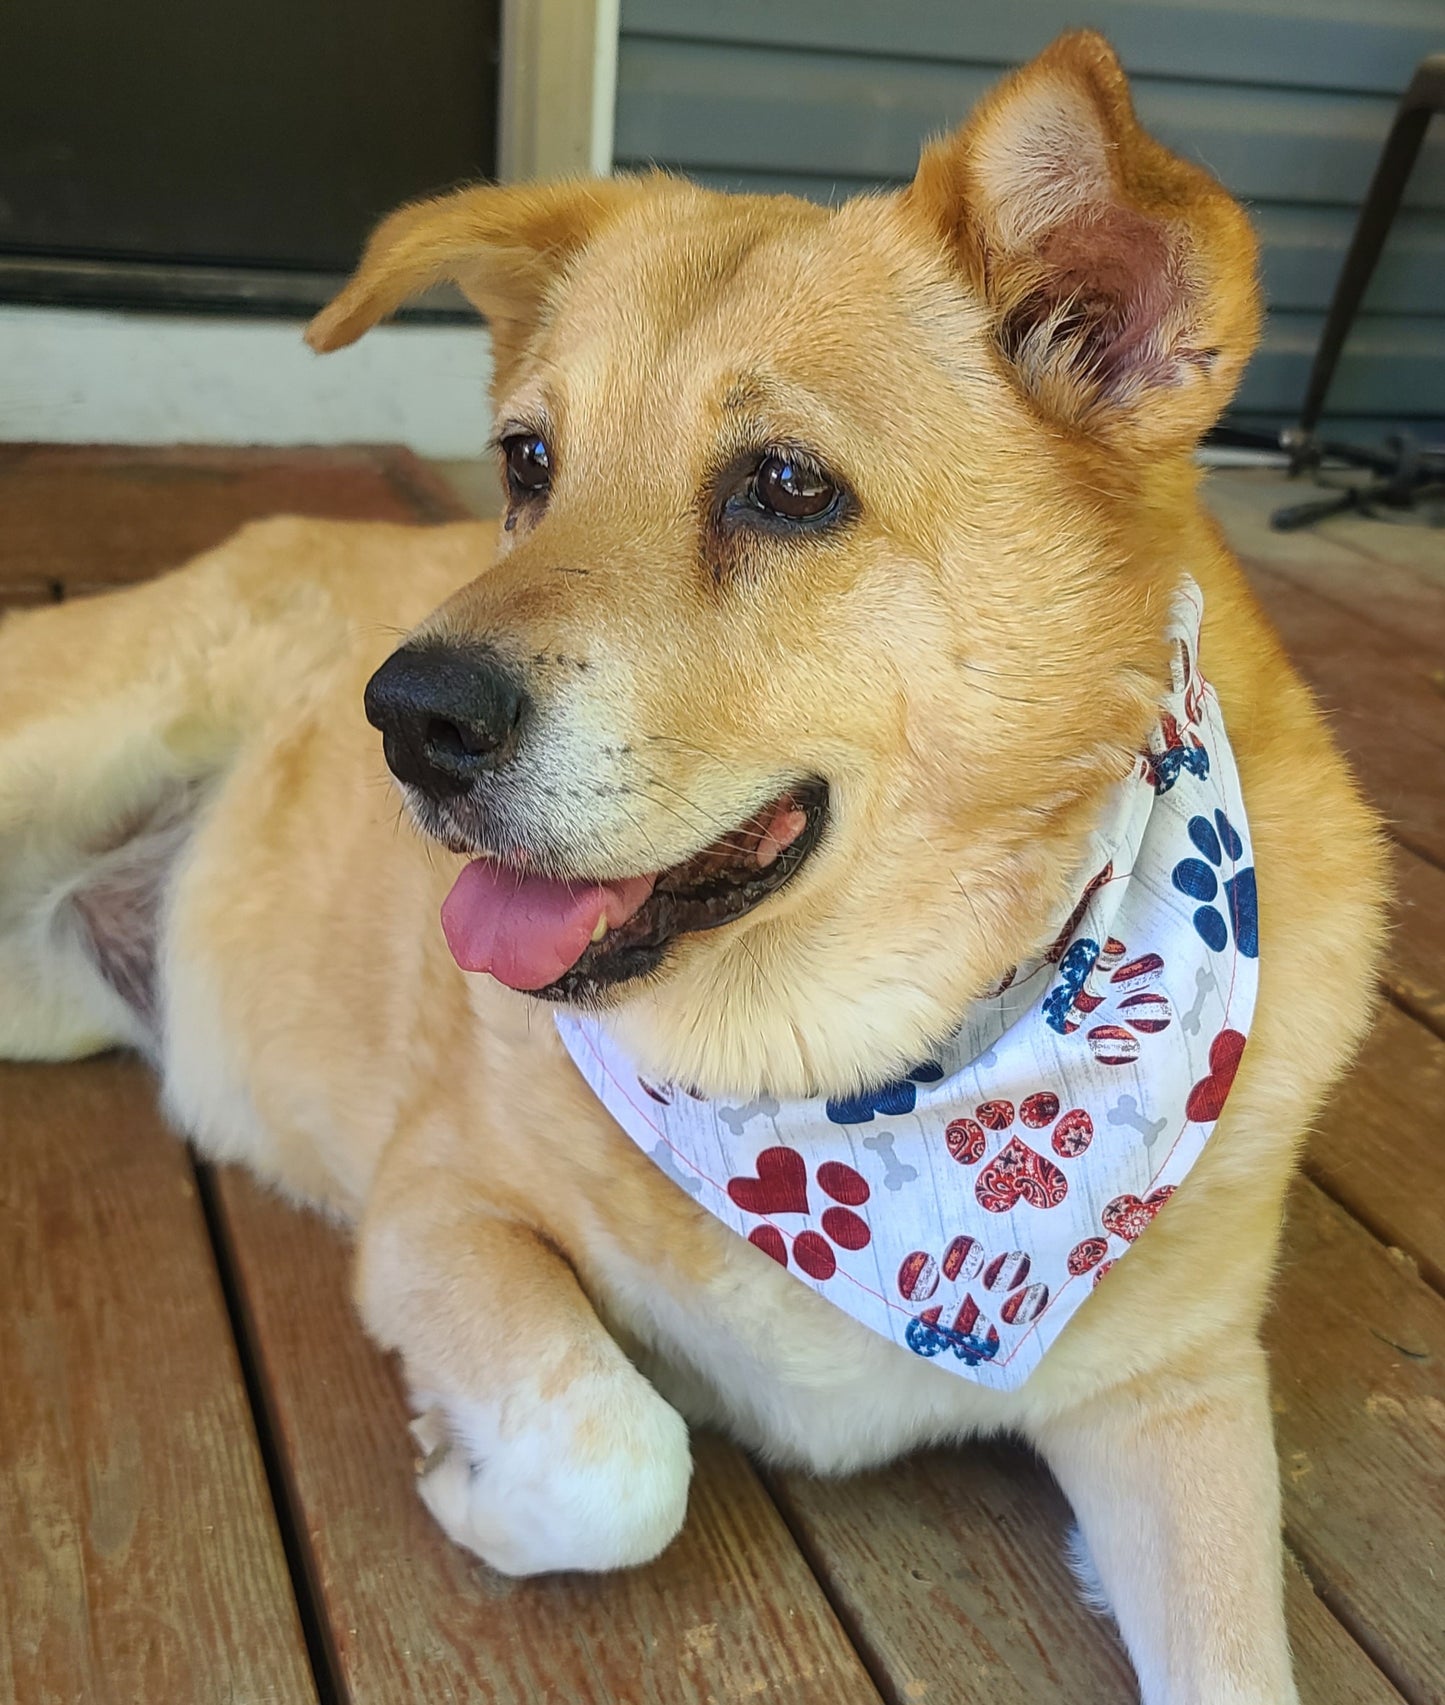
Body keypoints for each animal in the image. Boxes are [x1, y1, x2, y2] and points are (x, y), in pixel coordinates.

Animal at [5, 30, 1397, 1705]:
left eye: (787, 487)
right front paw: (462, 1478)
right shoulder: (436, 1208)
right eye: (526, 462)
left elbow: (1240, 1665)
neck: (851, 1071)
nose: (405, 718)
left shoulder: (1176, 1395)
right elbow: (622, 1452)